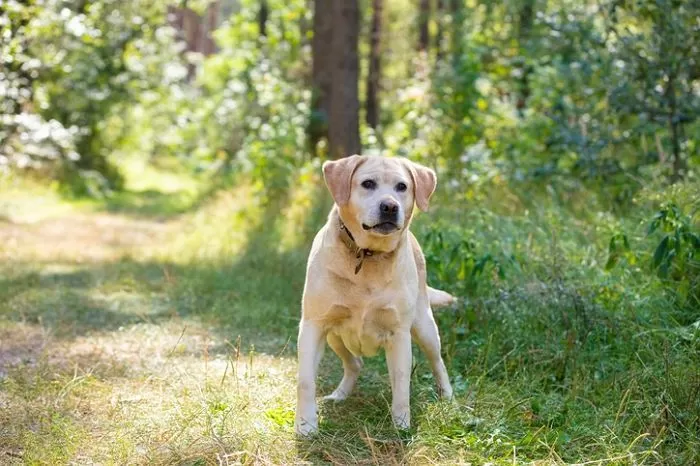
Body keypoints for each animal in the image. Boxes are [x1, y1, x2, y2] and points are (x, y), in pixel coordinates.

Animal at [294, 155, 454, 436]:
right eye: (368, 183)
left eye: (402, 187)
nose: (390, 206)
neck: (367, 255)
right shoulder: (313, 326)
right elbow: (305, 380)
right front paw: (306, 425)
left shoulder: (399, 334)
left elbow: (401, 383)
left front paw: (401, 426)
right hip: (334, 337)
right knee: (354, 363)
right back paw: (340, 395)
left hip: (424, 327)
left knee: (438, 362)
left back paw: (448, 397)